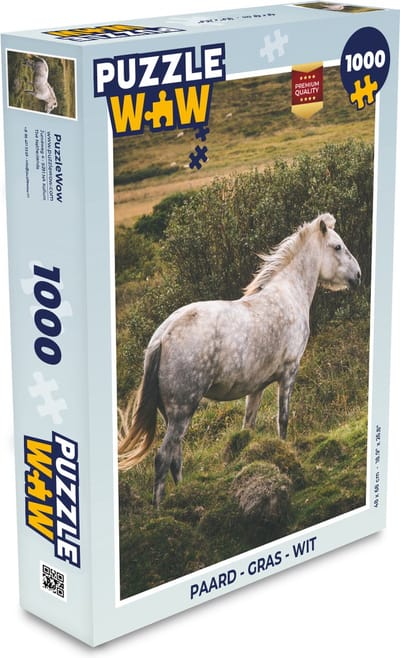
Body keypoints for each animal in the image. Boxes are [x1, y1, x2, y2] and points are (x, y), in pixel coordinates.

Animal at [118, 213, 361, 506]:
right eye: (337, 247)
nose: (358, 276)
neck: (288, 294)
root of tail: (162, 337)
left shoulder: (256, 388)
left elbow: (248, 428)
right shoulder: (289, 373)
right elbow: (283, 419)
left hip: (173, 415)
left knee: (176, 457)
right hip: (182, 410)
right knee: (164, 457)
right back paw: (161, 508)